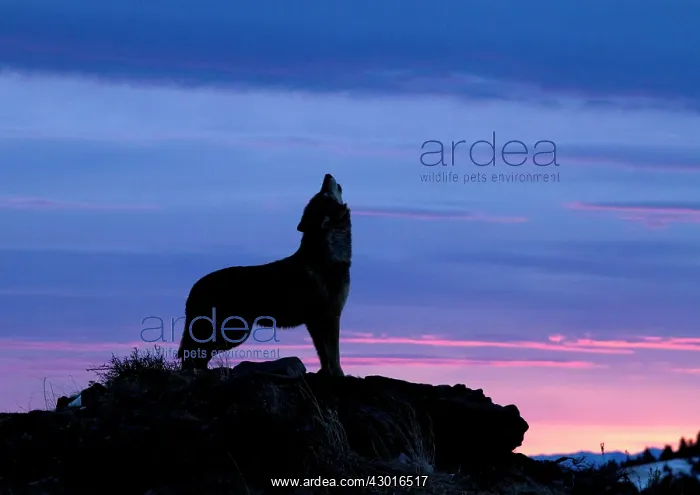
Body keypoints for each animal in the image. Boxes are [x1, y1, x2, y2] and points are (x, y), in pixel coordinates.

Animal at [177, 174, 351, 377]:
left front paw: (325, 372)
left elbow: (324, 354)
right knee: (193, 353)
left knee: (196, 354)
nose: (327, 175)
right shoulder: (329, 316)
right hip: (233, 332)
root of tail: (195, 285)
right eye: (324, 194)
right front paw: (339, 375)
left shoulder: (315, 321)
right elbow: (333, 353)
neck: (330, 251)